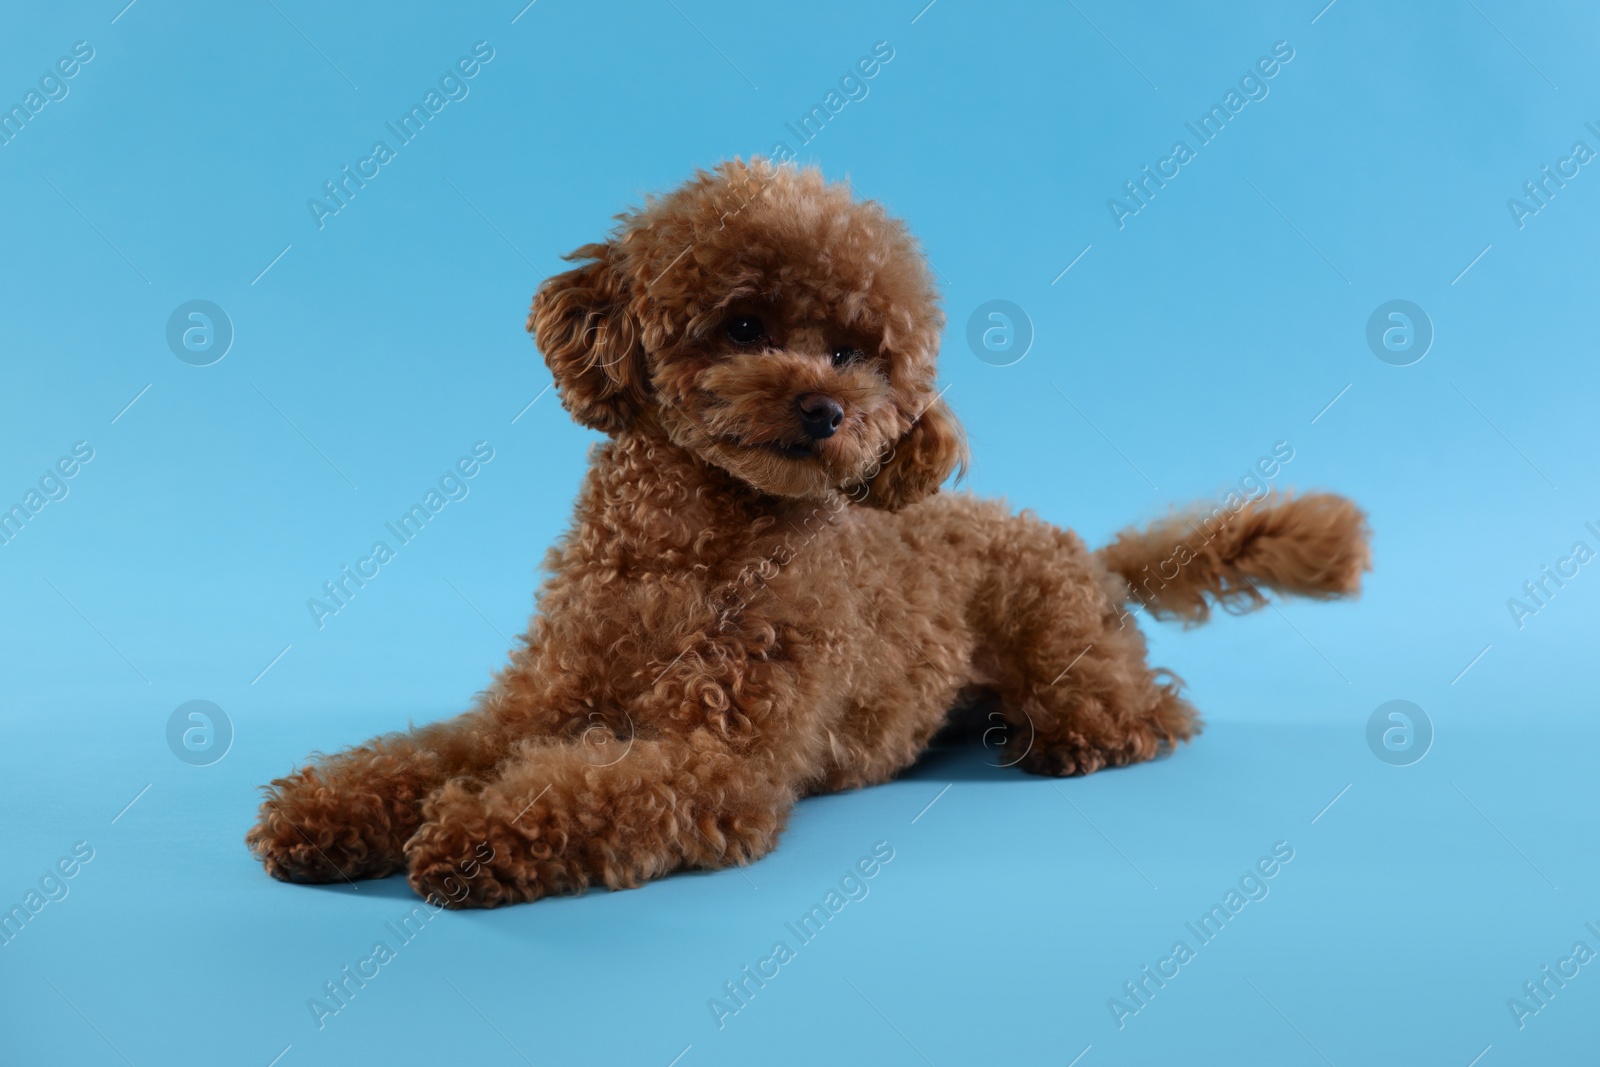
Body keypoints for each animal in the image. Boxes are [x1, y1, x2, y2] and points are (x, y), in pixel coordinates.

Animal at [243, 158, 1369, 908]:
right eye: (744, 324)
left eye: (855, 352)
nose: (828, 408)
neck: (682, 547)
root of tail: (1082, 549)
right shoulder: (531, 706)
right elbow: (425, 750)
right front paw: (325, 810)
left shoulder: (721, 759)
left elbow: (591, 787)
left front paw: (477, 832)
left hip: (1070, 666)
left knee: (1152, 712)